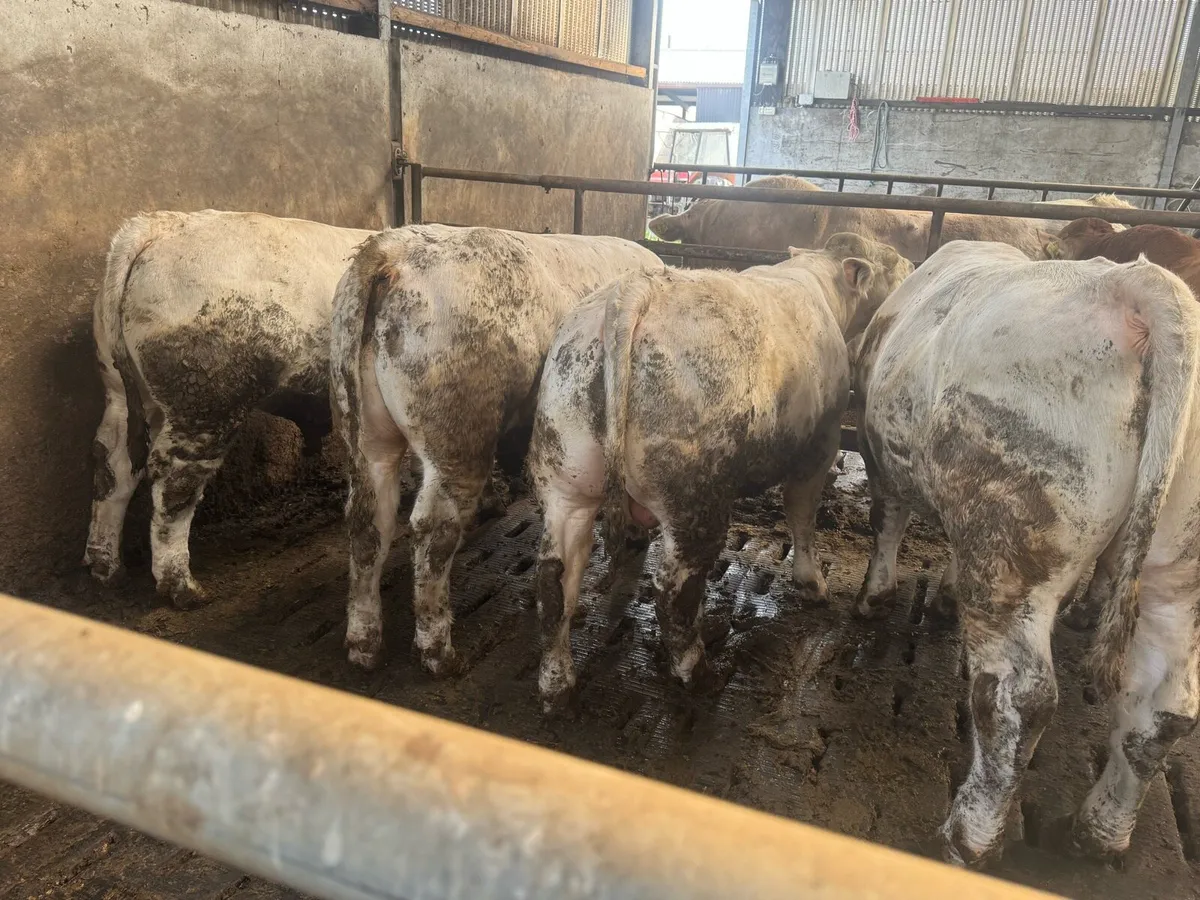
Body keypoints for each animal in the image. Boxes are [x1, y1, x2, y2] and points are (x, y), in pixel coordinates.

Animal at [85, 210, 375, 607]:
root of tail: (159, 225)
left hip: (124, 392)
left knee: (113, 465)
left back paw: (105, 567)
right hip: (207, 403)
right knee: (174, 479)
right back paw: (181, 587)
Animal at [330, 224, 659, 674]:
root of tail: (388, 251)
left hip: (364, 433)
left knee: (368, 519)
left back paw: (363, 644)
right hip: (457, 430)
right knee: (433, 527)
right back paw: (440, 653)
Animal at [527, 234, 912, 712]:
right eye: (890, 260)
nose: (912, 266)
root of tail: (635, 290)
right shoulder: (818, 447)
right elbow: (801, 514)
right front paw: (812, 584)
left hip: (565, 477)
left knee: (554, 578)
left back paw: (556, 682)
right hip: (694, 498)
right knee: (672, 590)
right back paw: (698, 671)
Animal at [852, 239, 1200, 869]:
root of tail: (1136, 286)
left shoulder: (880, 455)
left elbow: (887, 521)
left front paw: (875, 596)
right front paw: (942, 597)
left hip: (1012, 551)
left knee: (1020, 697)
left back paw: (970, 836)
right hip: (1177, 568)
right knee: (1166, 708)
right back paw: (1101, 830)